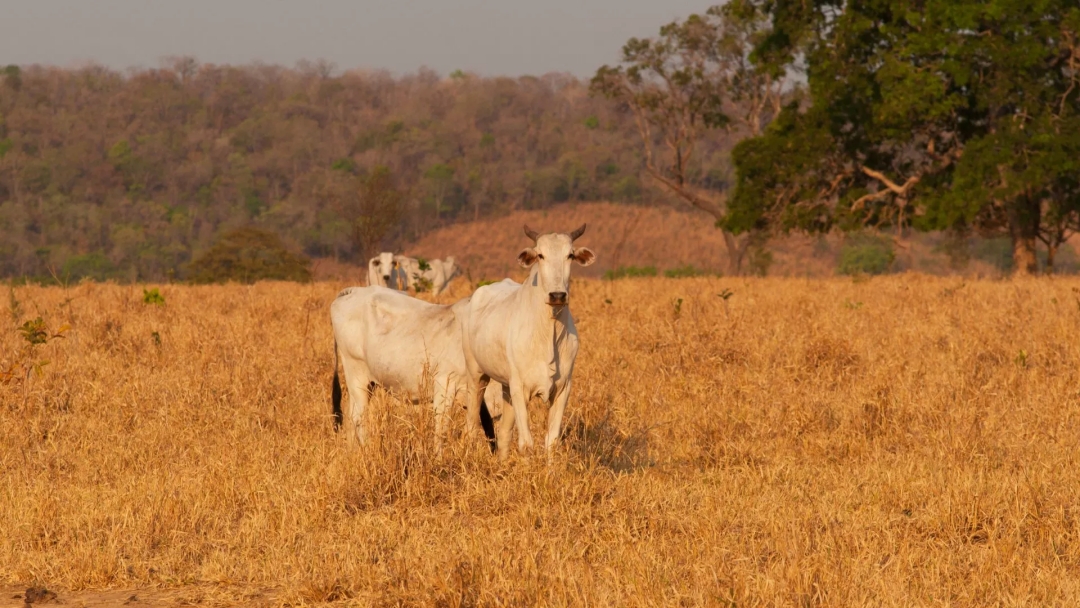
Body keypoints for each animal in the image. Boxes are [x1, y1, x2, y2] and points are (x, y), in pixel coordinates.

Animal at [328, 285, 501, 447]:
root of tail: (355, 290)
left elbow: (486, 429)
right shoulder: (444, 385)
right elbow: (441, 430)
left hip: (366, 383)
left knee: (350, 417)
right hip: (356, 375)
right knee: (358, 417)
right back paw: (366, 450)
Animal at [460, 223, 596, 457]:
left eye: (570, 255)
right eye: (540, 255)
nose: (557, 295)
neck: (548, 332)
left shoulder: (563, 389)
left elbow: (551, 442)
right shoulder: (520, 388)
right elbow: (526, 444)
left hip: (506, 388)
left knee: (504, 435)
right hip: (476, 376)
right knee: (470, 428)